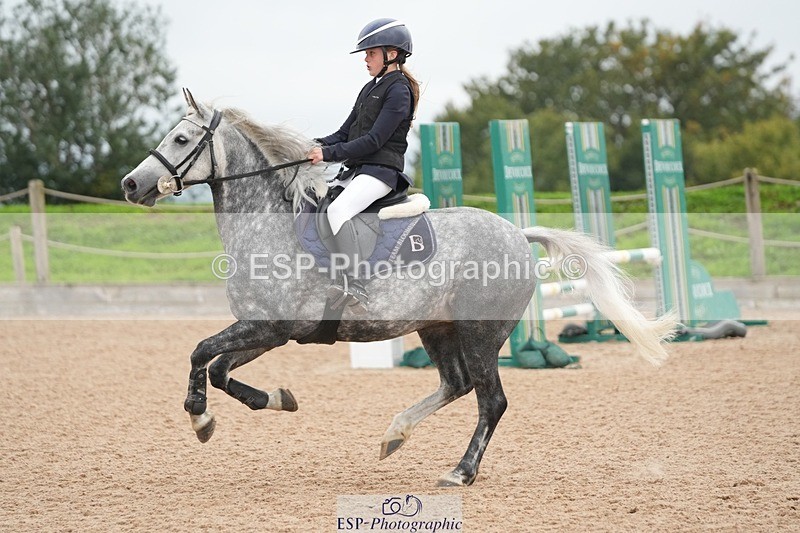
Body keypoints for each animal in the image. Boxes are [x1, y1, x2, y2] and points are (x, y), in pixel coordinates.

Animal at [121, 89, 676, 487]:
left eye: (180, 140)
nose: (130, 185)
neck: (267, 225)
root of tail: (518, 234)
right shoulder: (268, 330)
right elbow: (218, 369)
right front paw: (278, 399)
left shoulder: (271, 326)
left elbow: (200, 353)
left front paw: (199, 419)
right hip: (436, 328)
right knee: (456, 384)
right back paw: (395, 435)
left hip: (481, 334)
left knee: (490, 400)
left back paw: (461, 472)